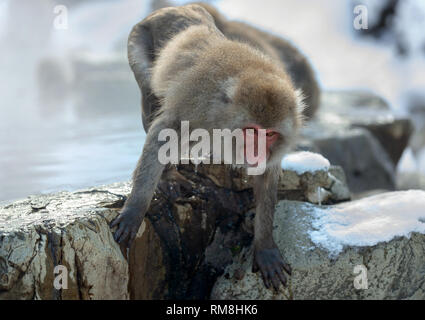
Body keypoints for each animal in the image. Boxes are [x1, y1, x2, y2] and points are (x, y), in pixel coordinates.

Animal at [111, 4, 314, 290]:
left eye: (270, 134)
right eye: (252, 130)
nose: (257, 152)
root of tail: (176, 8)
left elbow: (266, 176)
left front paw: (265, 247)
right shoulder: (196, 111)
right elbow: (163, 131)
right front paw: (134, 210)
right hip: (138, 40)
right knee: (152, 98)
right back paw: (167, 175)